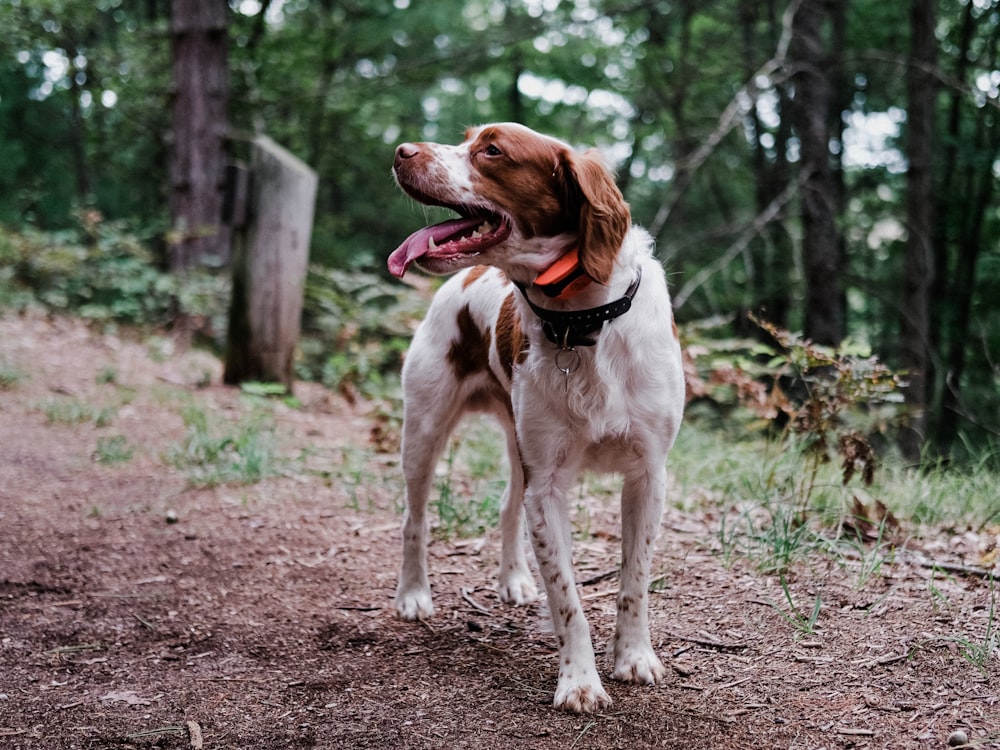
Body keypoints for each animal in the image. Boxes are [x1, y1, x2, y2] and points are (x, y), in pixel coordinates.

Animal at [386, 125, 684, 716]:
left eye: (492, 149)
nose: (402, 151)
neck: (583, 322)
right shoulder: (547, 483)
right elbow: (568, 598)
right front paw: (580, 682)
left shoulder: (648, 475)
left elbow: (635, 578)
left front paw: (634, 656)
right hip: (424, 431)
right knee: (415, 518)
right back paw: (413, 595)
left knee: (506, 505)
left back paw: (514, 581)